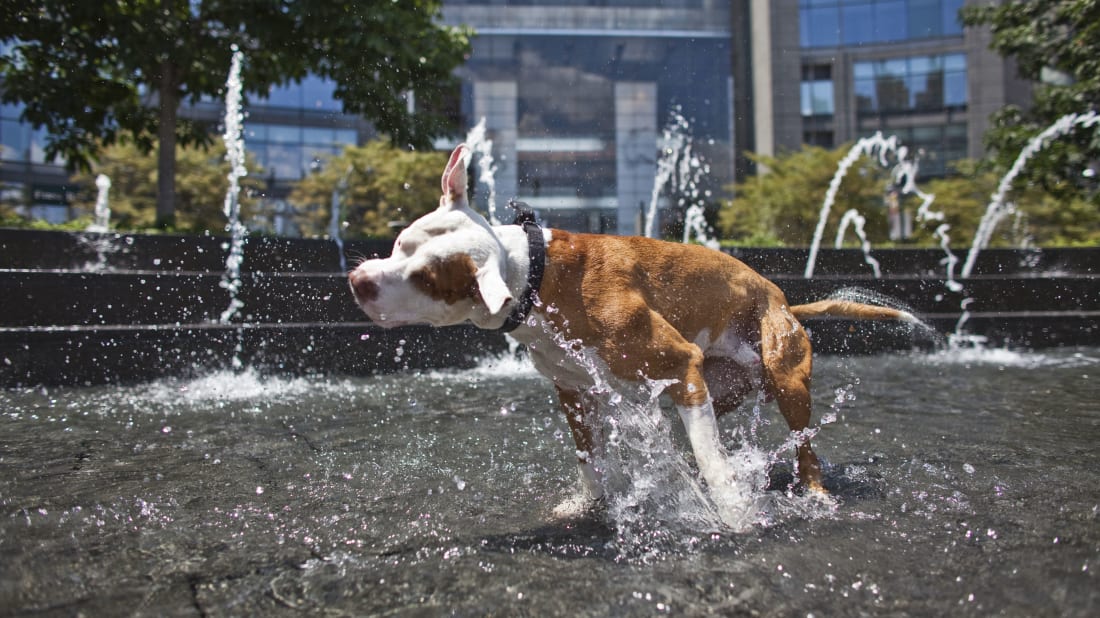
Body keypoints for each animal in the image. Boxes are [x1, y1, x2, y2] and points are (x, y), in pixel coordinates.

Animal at [347, 142, 915, 510]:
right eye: (399, 242)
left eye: (425, 278)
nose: (357, 280)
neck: (536, 274)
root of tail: (782, 299)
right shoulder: (575, 391)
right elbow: (590, 459)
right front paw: (591, 503)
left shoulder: (678, 362)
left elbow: (713, 465)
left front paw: (734, 513)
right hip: (713, 387)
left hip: (782, 376)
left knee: (801, 445)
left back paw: (814, 492)